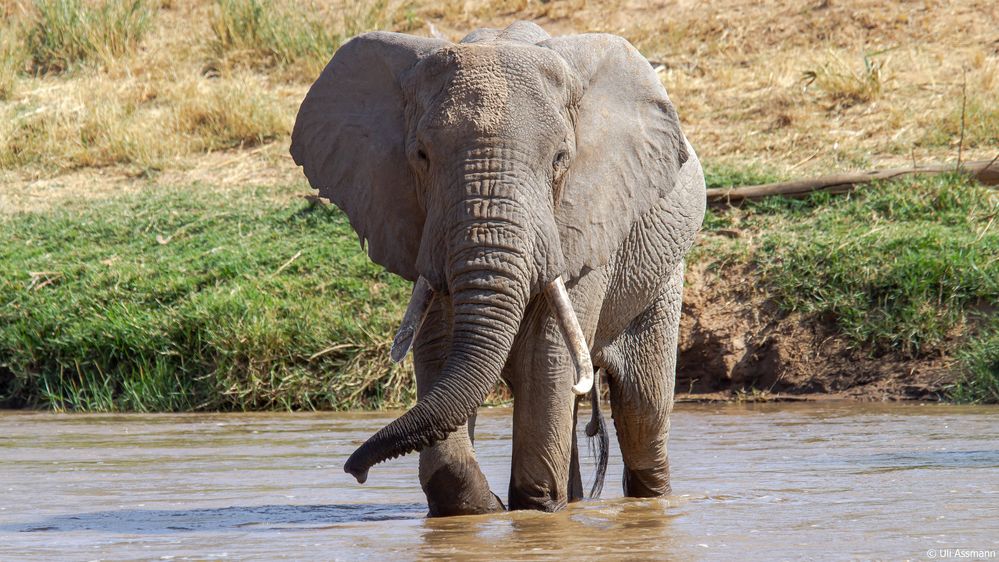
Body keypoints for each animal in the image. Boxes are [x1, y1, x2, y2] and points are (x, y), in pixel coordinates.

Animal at [292, 19, 708, 516]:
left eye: (561, 159)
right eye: (421, 156)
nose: (355, 471)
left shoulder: (584, 226)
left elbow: (545, 356)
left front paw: (532, 509)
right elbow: (440, 348)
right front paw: (481, 509)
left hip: (662, 270)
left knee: (641, 409)